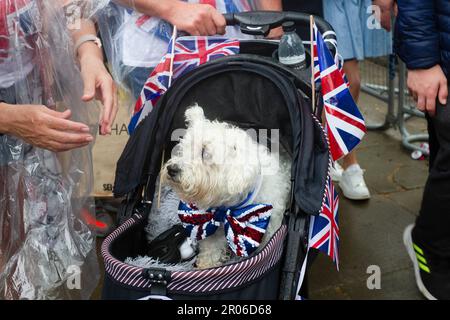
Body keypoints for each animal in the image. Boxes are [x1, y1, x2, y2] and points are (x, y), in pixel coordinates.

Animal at [163, 105, 292, 270]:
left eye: (204, 152)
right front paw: (206, 266)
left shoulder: (268, 232)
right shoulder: (213, 229)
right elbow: (211, 250)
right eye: (183, 149)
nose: (171, 169)